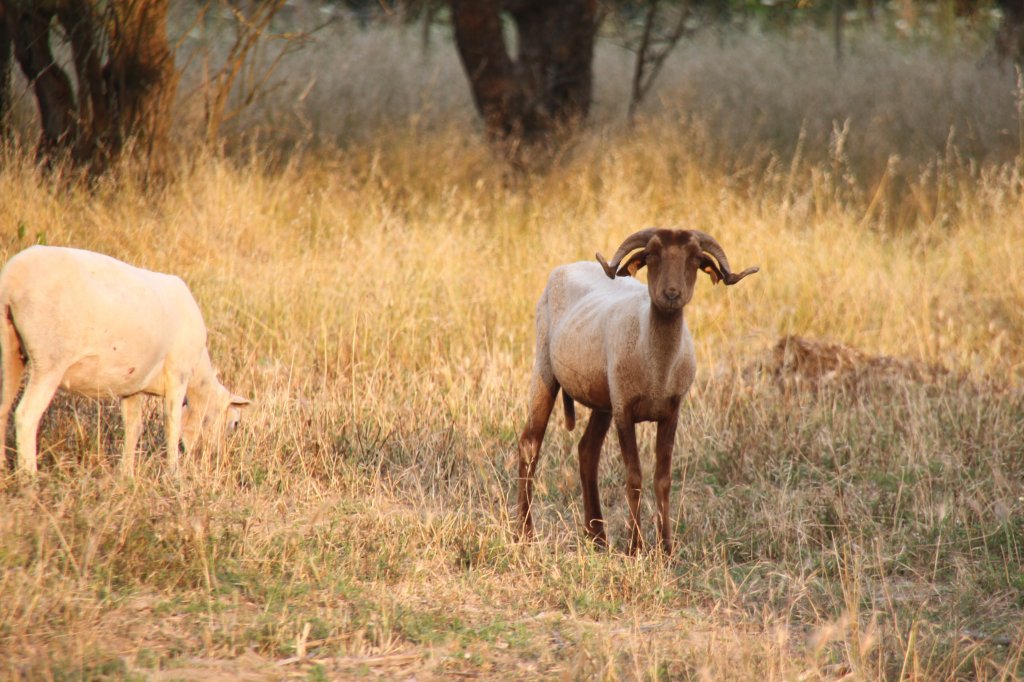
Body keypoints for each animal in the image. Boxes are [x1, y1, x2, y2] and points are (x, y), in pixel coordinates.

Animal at [0, 245, 249, 477]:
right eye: (235, 424)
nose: (218, 461)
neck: (198, 379)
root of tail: (11, 280)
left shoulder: (134, 385)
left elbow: (133, 427)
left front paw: (127, 473)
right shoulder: (177, 372)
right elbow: (172, 423)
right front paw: (173, 473)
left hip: (11, 349)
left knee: (4, 407)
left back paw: (3, 467)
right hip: (50, 358)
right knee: (26, 415)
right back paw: (29, 475)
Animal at [520, 227, 753, 552]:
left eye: (695, 259)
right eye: (651, 255)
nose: (671, 295)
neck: (657, 370)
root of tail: (568, 265)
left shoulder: (671, 411)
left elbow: (662, 479)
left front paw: (666, 549)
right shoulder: (625, 409)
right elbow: (634, 477)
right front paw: (635, 548)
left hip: (603, 396)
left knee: (587, 451)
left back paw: (597, 536)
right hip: (545, 367)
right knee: (530, 445)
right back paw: (524, 533)